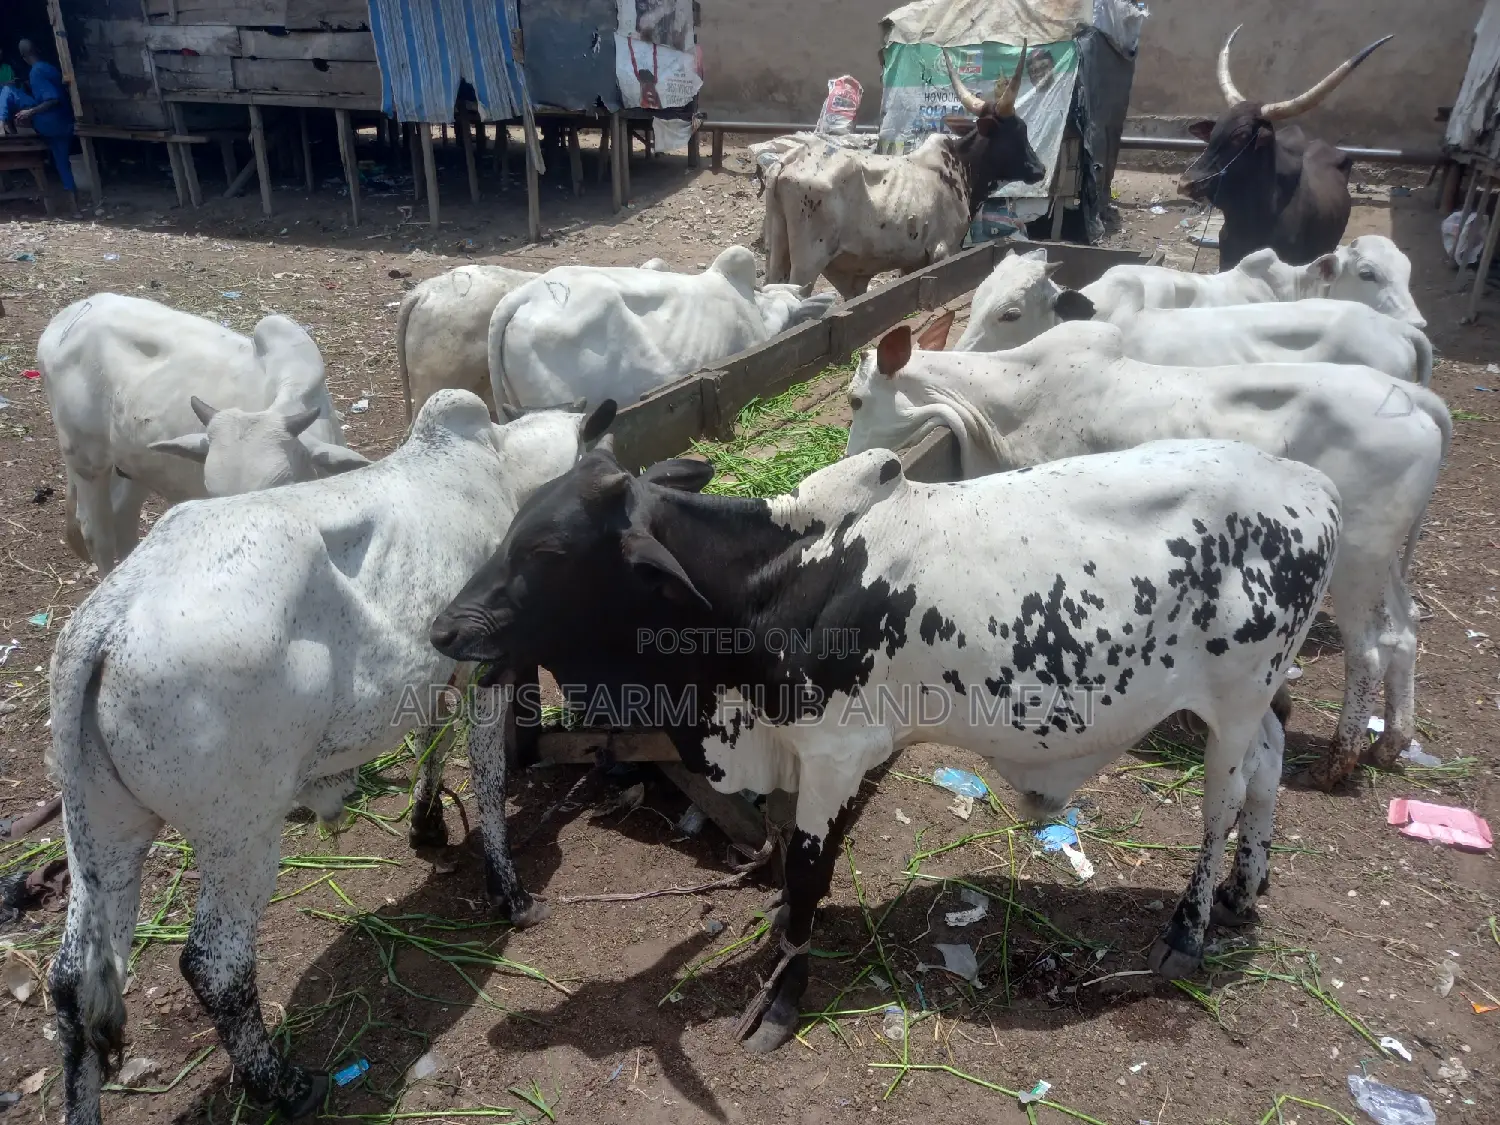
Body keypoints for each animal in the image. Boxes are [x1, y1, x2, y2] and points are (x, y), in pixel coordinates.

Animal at [45, 391, 614, 1125]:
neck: (500, 469)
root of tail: (105, 619)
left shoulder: (434, 675)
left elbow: (431, 746)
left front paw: (428, 824)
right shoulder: (488, 671)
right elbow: (488, 781)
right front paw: (510, 892)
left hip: (102, 834)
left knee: (75, 984)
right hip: (240, 833)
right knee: (214, 964)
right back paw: (284, 1084)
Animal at [430, 432, 1340, 1055]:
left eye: (548, 549)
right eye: (512, 525)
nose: (444, 627)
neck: (775, 582)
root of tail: (1314, 483)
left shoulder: (837, 753)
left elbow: (806, 870)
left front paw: (783, 998)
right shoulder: (794, 750)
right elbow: (787, 867)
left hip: (1232, 700)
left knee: (1223, 799)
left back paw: (1188, 929)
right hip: (1255, 701)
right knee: (1270, 764)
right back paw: (1245, 887)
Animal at [761, 47, 1045, 299]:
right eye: (1018, 130)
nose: (1040, 169)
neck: (960, 167)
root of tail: (789, 160)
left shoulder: (913, 261)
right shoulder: (944, 250)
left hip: (777, 254)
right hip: (808, 262)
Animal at [845, 319, 1451, 791]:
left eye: (855, 399)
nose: (851, 455)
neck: (1001, 403)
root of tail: (1419, 401)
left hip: (1357, 560)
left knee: (1369, 650)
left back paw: (1337, 762)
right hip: (1383, 562)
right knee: (1406, 628)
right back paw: (1389, 743)